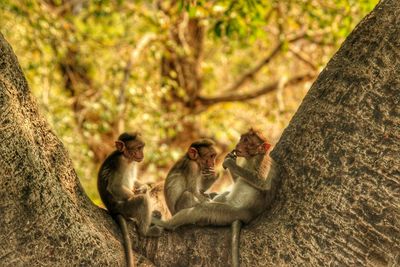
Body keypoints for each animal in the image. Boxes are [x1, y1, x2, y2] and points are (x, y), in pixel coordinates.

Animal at [97, 132, 162, 267]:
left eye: (142, 147)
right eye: (138, 148)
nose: (142, 154)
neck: (127, 159)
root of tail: (113, 210)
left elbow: (136, 182)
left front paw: (144, 187)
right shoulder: (119, 163)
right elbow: (114, 187)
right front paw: (140, 193)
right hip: (125, 208)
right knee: (141, 200)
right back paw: (145, 231)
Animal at [152, 129, 278, 266]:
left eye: (247, 141)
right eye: (242, 139)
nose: (238, 145)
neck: (253, 157)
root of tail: (247, 217)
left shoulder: (262, 162)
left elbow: (263, 183)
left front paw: (229, 163)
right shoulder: (192, 167)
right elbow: (195, 190)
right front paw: (228, 161)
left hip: (230, 213)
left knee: (202, 209)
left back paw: (168, 223)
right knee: (197, 198)